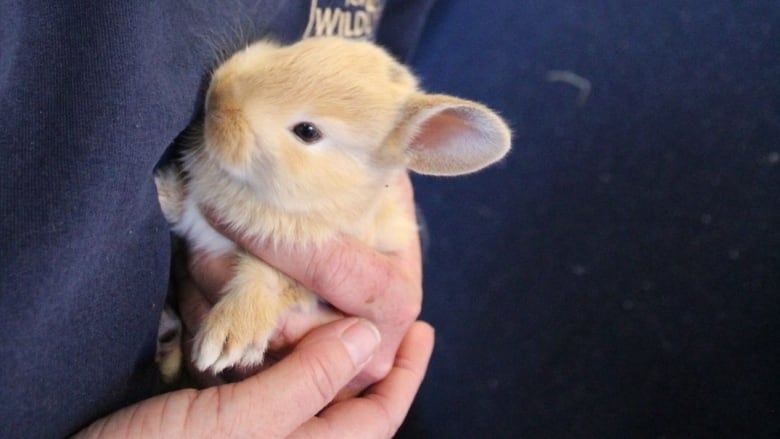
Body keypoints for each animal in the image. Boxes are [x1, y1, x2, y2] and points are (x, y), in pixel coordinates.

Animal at [156, 37, 516, 382]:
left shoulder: (298, 273)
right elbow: (185, 210)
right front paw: (163, 190)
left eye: (307, 132)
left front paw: (229, 338)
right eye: (300, 47)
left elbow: (264, 280)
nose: (218, 97)